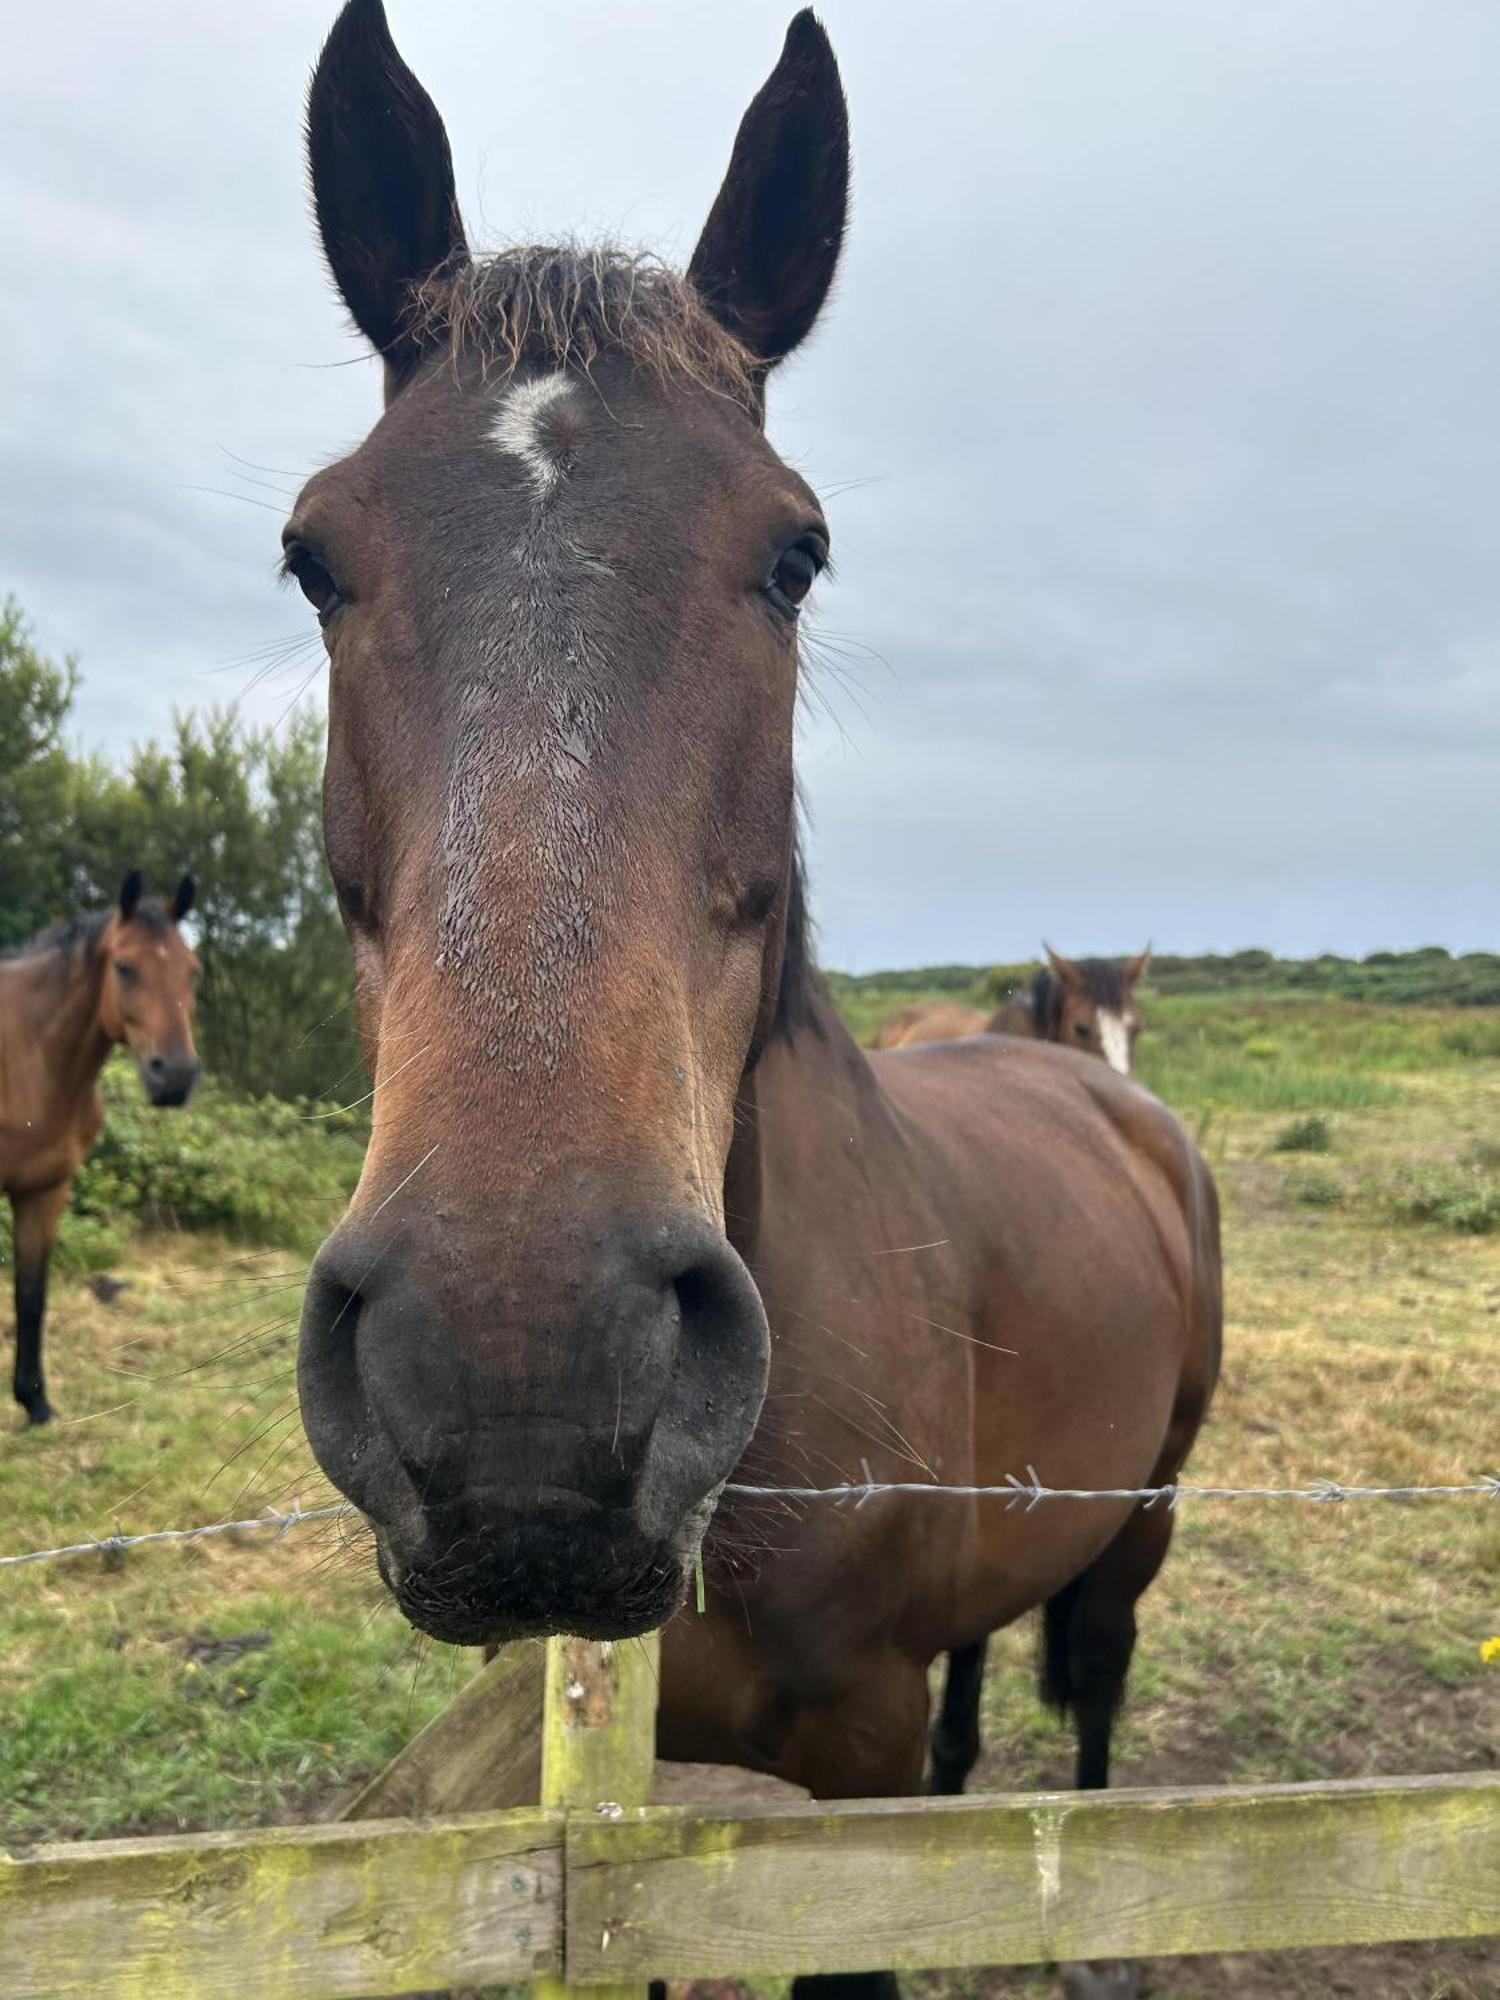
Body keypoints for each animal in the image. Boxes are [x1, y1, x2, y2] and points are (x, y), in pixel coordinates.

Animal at [0, 876, 200, 1424]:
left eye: (192, 970)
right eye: (124, 966)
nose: (175, 1075)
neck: (28, 1057)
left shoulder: (45, 1191)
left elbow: (31, 1295)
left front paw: (36, 1403)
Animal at [284, 7, 1224, 1992]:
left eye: (794, 555)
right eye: (317, 557)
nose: (524, 1374)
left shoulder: (845, 1779)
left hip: (1144, 1525)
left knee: (1095, 1711)